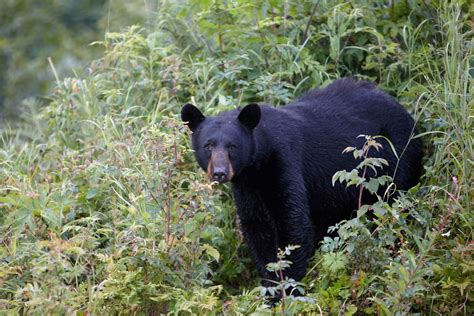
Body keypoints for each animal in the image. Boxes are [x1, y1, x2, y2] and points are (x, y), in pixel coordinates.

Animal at [181, 79, 422, 292]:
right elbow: (257, 227)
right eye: (208, 145)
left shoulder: (285, 162)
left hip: (399, 158)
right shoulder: (246, 186)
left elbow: (293, 224)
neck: (258, 165)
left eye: (232, 146)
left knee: (393, 205)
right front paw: (271, 285)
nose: (220, 172)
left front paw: (287, 289)